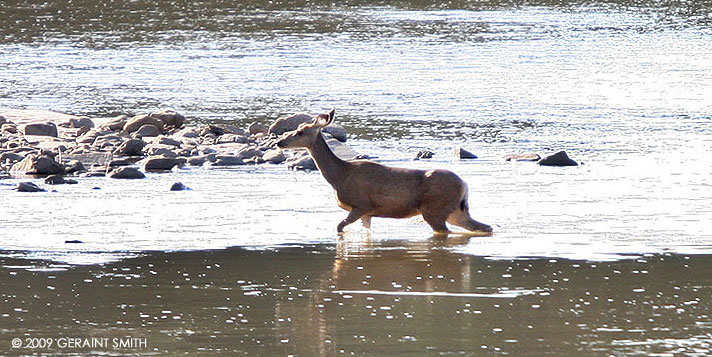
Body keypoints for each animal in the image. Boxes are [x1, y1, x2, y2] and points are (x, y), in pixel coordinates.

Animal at [276, 110, 492, 235]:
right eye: (296, 128)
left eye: (300, 132)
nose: (279, 142)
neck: (340, 176)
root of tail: (464, 185)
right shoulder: (368, 212)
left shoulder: (361, 205)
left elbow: (339, 227)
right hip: (456, 210)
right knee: (483, 227)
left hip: (435, 209)